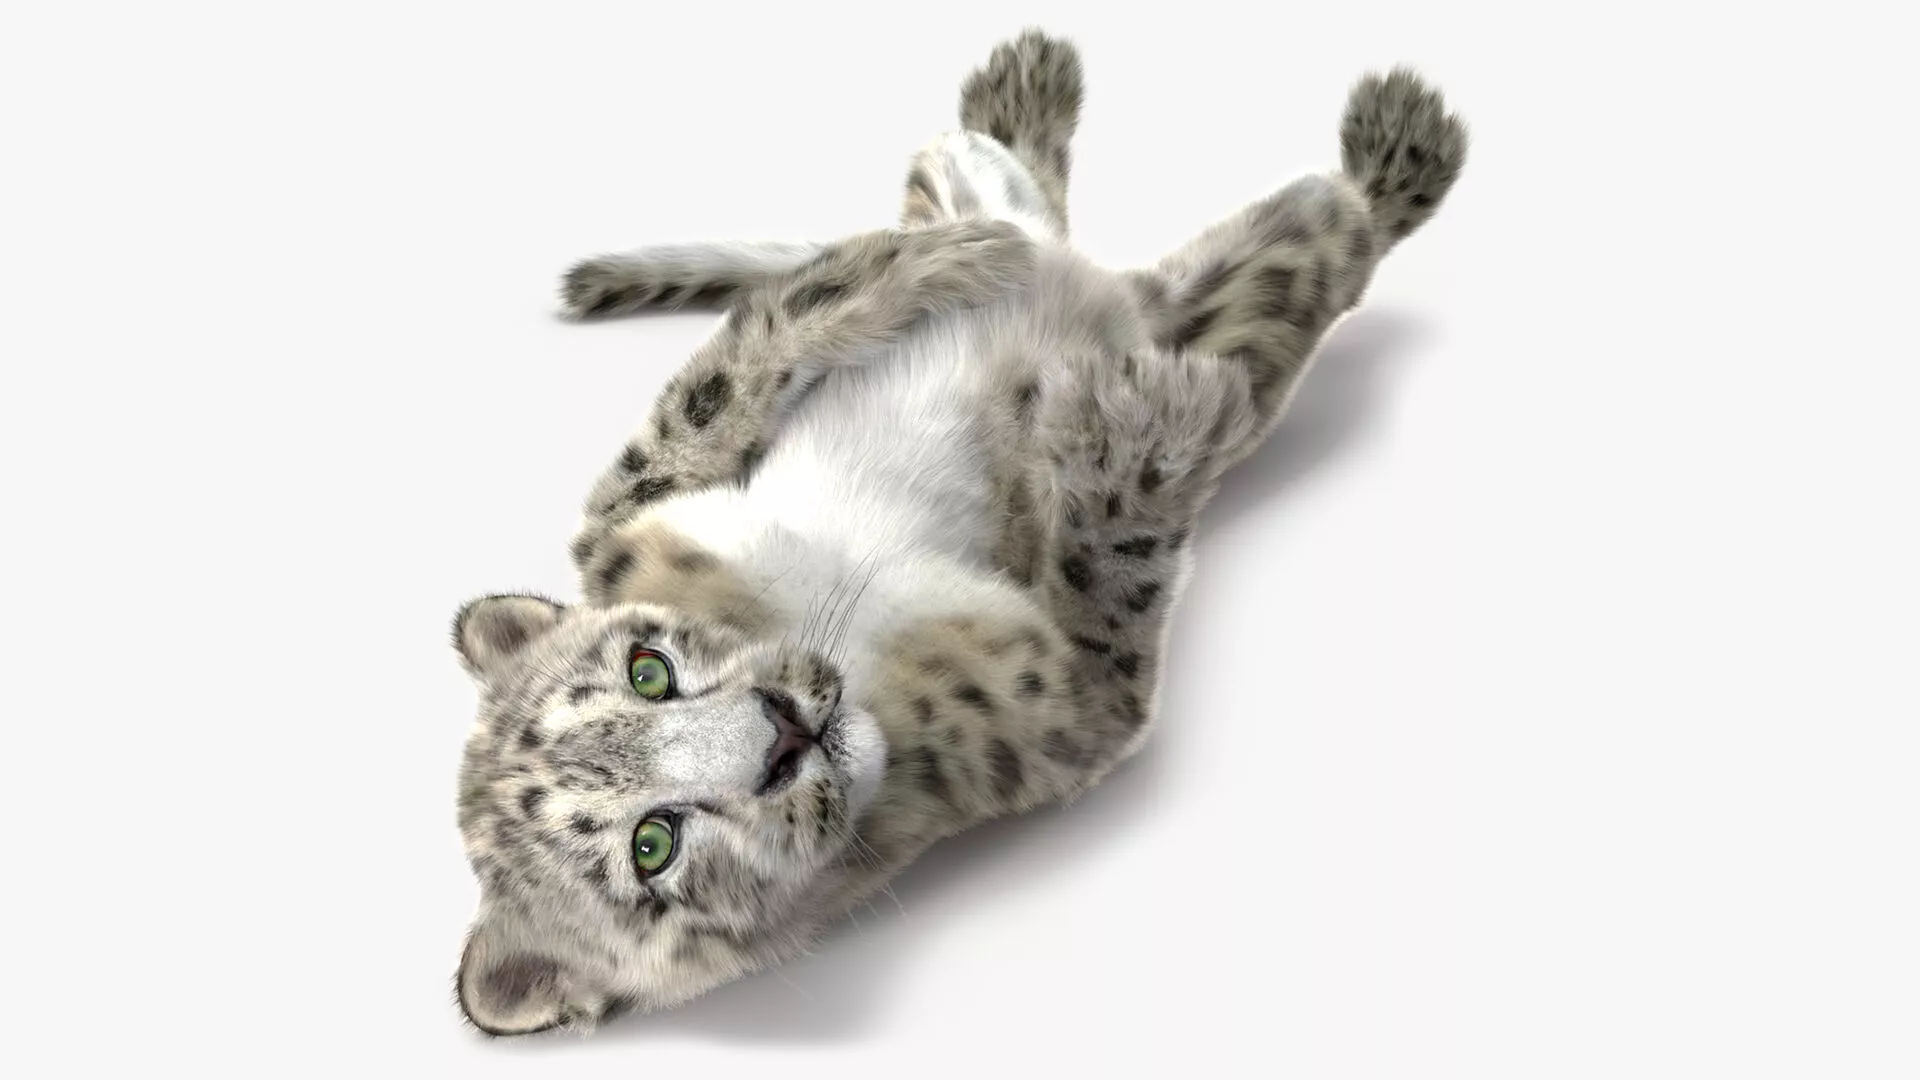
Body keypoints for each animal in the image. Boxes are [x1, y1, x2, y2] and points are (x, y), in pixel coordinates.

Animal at [448, 28, 1467, 1036]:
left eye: (647, 670)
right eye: (652, 845)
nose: (781, 731)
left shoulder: (622, 525)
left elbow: (707, 391)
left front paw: (936, 262)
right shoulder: (1074, 711)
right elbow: (1112, 580)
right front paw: (1139, 428)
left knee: (1004, 198)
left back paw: (1011, 119)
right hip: (1264, 294)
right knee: (1322, 240)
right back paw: (1396, 142)